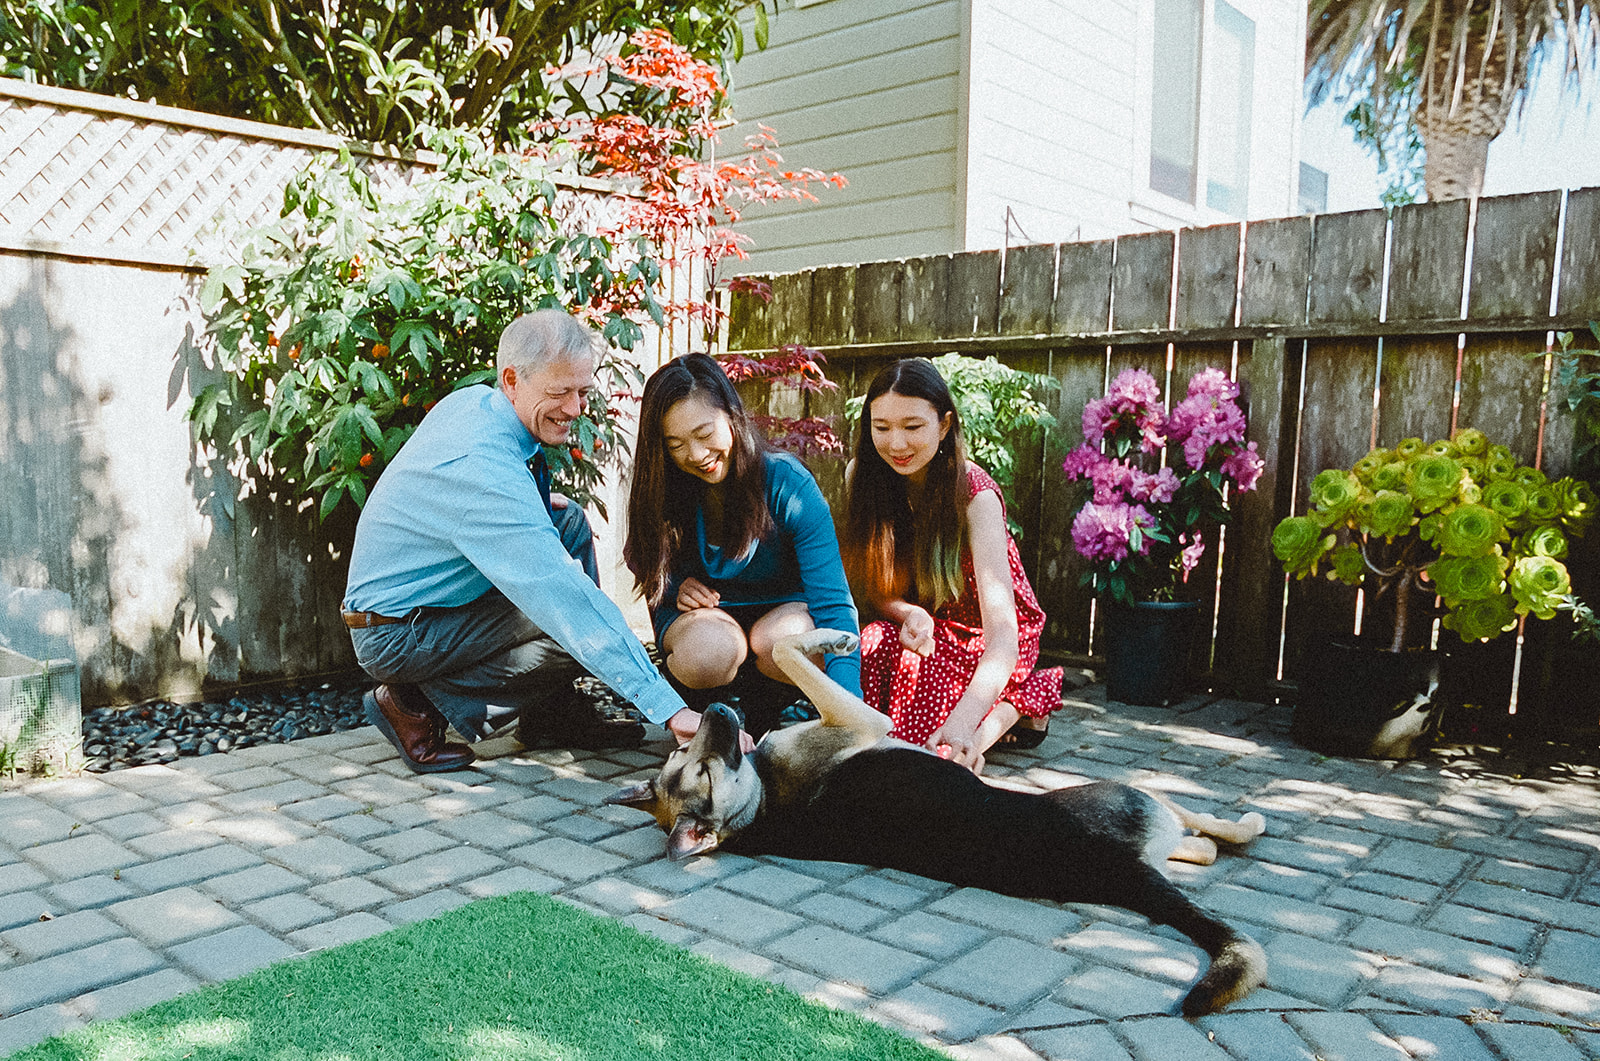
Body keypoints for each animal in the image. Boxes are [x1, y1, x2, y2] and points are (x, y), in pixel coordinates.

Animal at [604, 630, 1267, 1024]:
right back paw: (1246, 820)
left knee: (1199, 849)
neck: (758, 807)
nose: (718, 709)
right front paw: (828, 638)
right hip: (1130, 794)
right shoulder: (862, 721)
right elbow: (793, 653)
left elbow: (793, 656)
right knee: (1207, 830)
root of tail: (1120, 869)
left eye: (686, 757)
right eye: (702, 770)